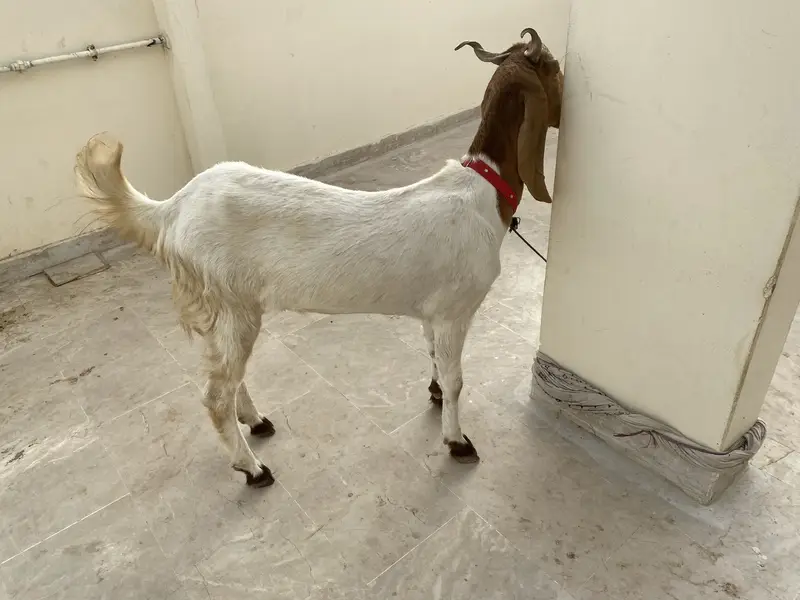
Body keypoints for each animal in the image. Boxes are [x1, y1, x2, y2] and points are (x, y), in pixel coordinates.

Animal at [74, 28, 563, 488]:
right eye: (556, 69)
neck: (483, 190)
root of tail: (172, 209)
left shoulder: (432, 312)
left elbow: (436, 363)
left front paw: (435, 392)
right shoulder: (455, 310)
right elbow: (458, 379)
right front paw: (457, 441)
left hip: (225, 309)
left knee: (228, 376)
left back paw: (255, 420)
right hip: (232, 303)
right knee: (215, 394)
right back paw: (253, 469)